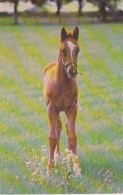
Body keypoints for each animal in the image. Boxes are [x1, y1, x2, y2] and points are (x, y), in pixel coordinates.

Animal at [42, 26, 81, 176]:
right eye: (63, 50)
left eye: (77, 50)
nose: (72, 71)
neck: (62, 83)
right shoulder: (51, 108)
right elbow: (52, 137)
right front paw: (50, 169)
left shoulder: (72, 107)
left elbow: (72, 136)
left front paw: (77, 168)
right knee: (58, 127)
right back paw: (57, 158)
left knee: (65, 127)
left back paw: (68, 158)